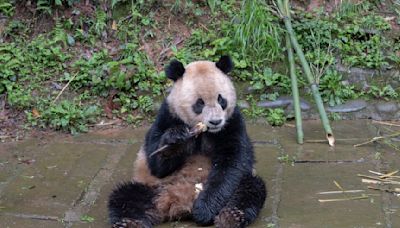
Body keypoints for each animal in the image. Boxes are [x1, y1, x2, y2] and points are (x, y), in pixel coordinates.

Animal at [108, 55, 268, 228]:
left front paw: (204, 210)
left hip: (241, 184)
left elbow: (231, 164)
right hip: (152, 187)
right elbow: (156, 164)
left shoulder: (232, 123)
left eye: (221, 99)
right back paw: (129, 223)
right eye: (200, 103)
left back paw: (231, 216)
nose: (216, 121)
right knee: (126, 197)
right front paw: (174, 141)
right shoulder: (167, 116)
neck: (203, 132)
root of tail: (179, 203)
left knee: (250, 189)